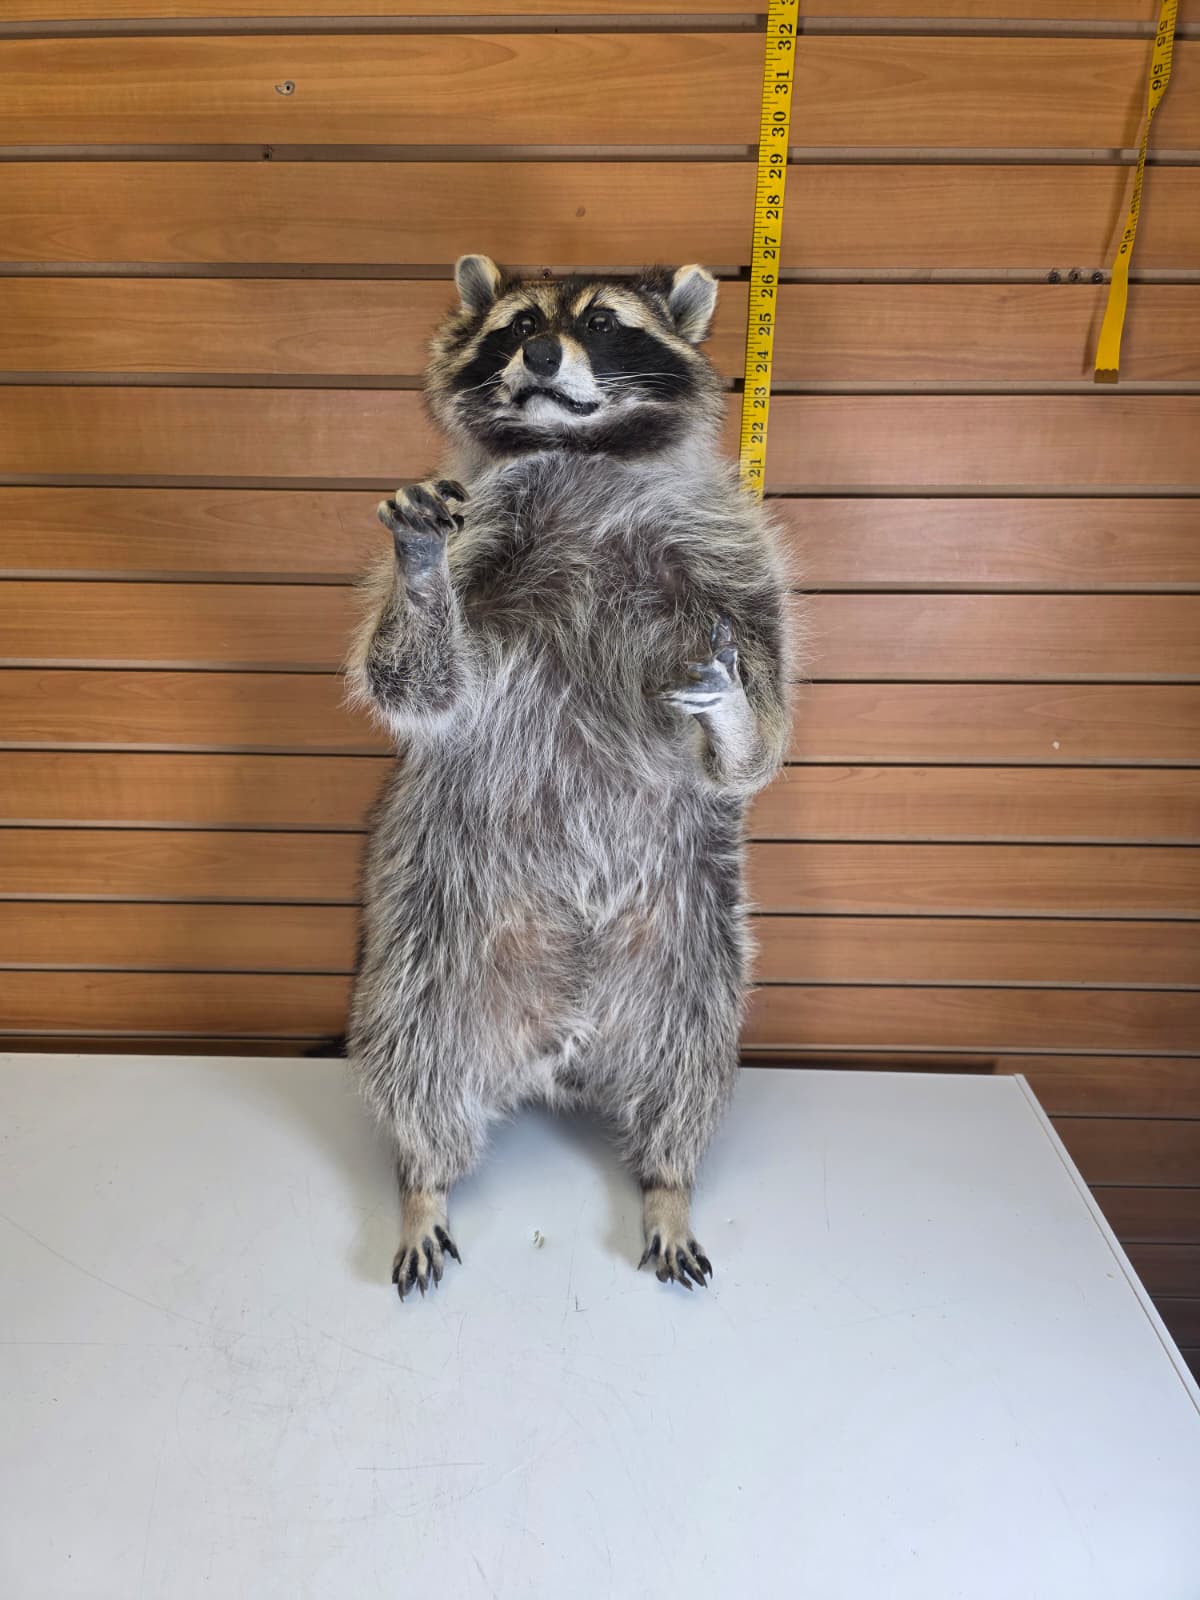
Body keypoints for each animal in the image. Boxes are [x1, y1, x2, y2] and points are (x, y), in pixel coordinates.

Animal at [346, 254, 797, 1298]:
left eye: (601, 321)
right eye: (517, 326)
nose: (545, 353)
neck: (582, 457)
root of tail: (565, 1043)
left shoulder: (734, 557)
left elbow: (762, 742)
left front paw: (737, 716)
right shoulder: (481, 543)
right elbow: (420, 683)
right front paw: (418, 573)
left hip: (695, 955)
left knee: (688, 1069)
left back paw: (669, 1179)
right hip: (430, 942)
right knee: (414, 1062)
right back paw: (421, 1180)